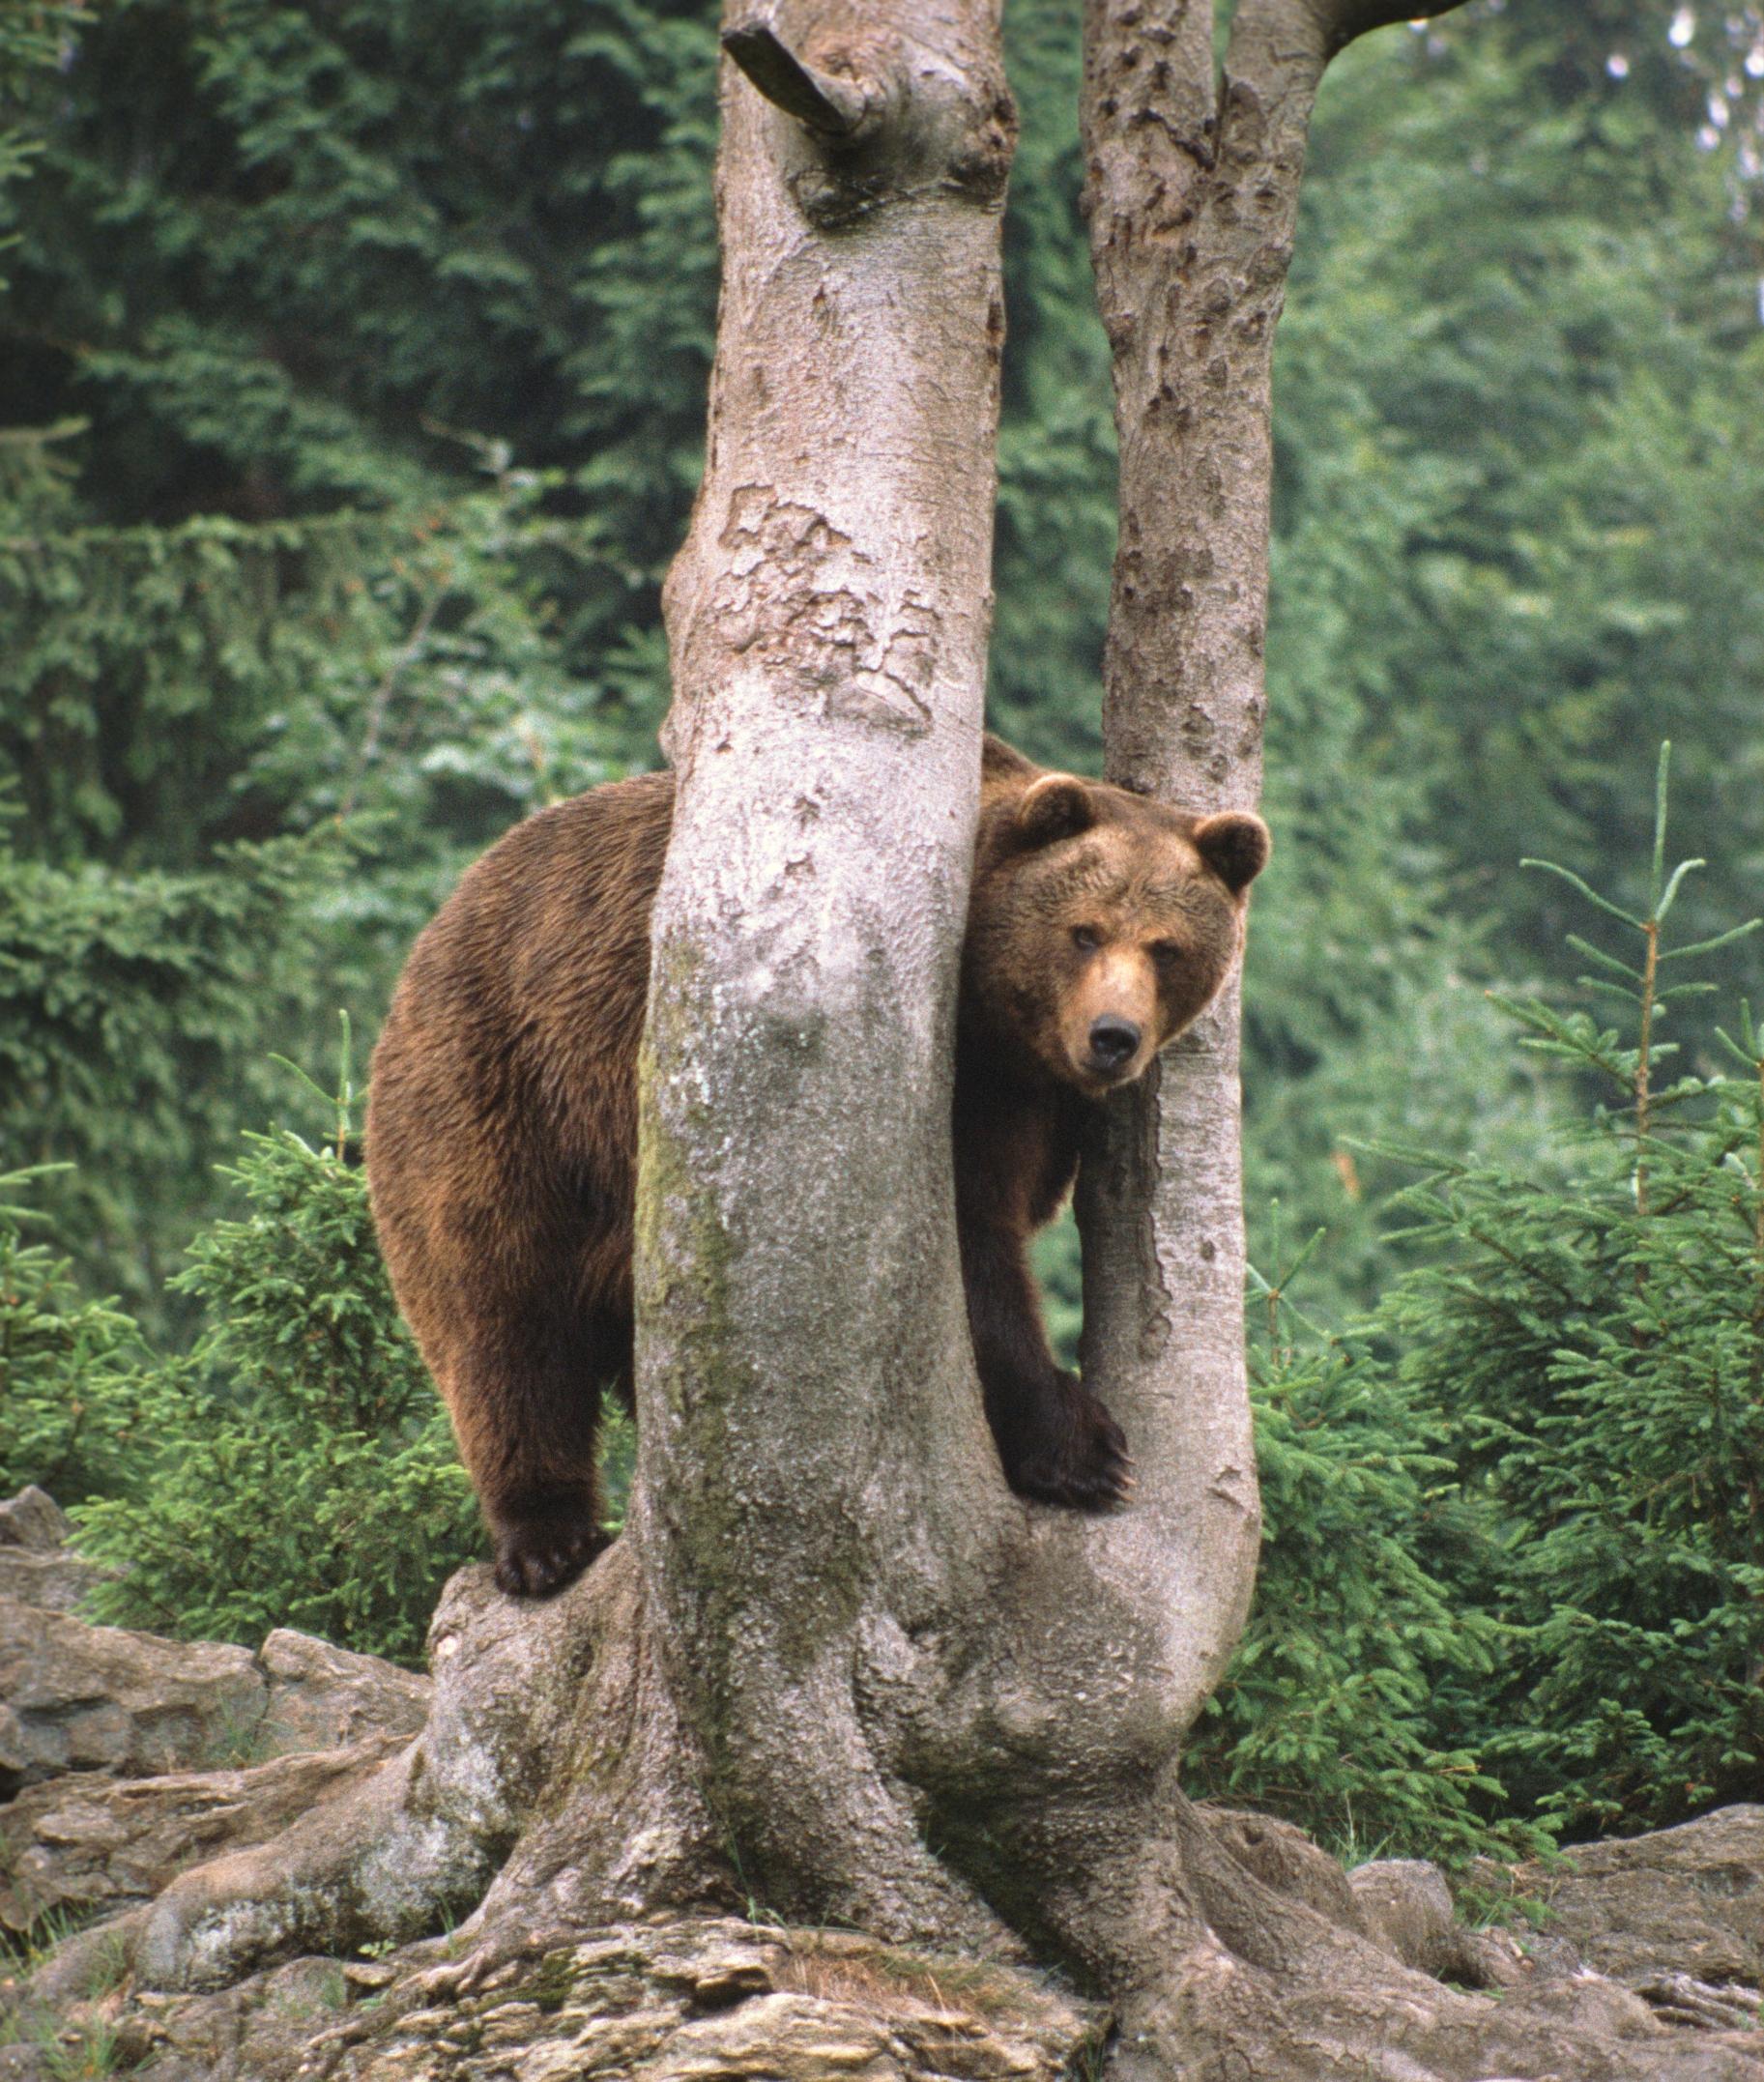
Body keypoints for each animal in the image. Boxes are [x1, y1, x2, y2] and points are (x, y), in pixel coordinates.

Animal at [366, 733, 1266, 1590]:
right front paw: (1083, 1446)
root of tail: (437, 924)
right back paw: (544, 1537)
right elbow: (964, 1250)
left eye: (1165, 948)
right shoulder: (941, 1082)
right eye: (1083, 932)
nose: (1112, 1037)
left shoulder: (1041, 1105)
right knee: (500, 1315)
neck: (1004, 1034)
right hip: (503, 1088)